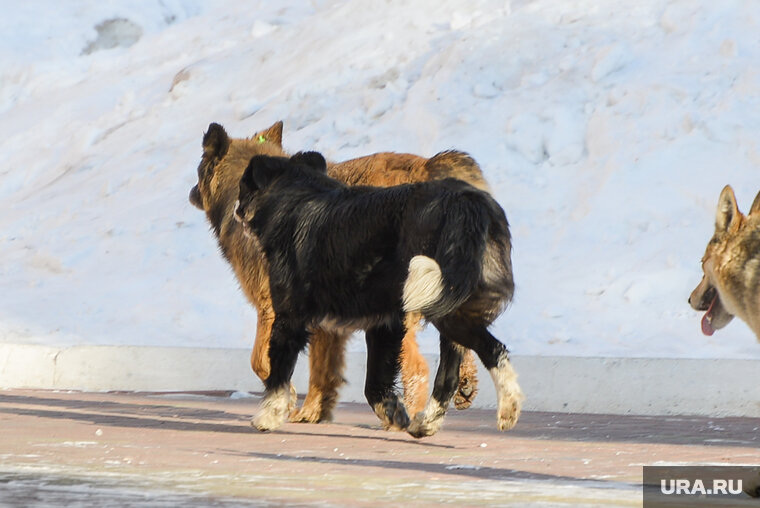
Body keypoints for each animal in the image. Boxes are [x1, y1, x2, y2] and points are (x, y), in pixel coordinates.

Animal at [190, 121, 486, 422]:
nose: (191, 192)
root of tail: (429, 166)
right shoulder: (324, 322)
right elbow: (322, 368)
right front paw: (313, 410)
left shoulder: (272, 309)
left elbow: (260, 360)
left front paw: (288, 398)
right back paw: (463, 385)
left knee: (417, 368)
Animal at [238, 152, 524, 436]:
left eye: (243, 187)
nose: (236, 209)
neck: (296, 199)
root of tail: (468, 203)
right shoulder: (385, 323)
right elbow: (375, 381)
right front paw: (393, 412)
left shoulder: (289, 317)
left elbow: (278, 374)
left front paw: (267, 417)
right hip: (446, 298)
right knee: (449, 375)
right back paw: (426, 423)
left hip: (441, 302)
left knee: (494, 349)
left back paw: (509, 407)